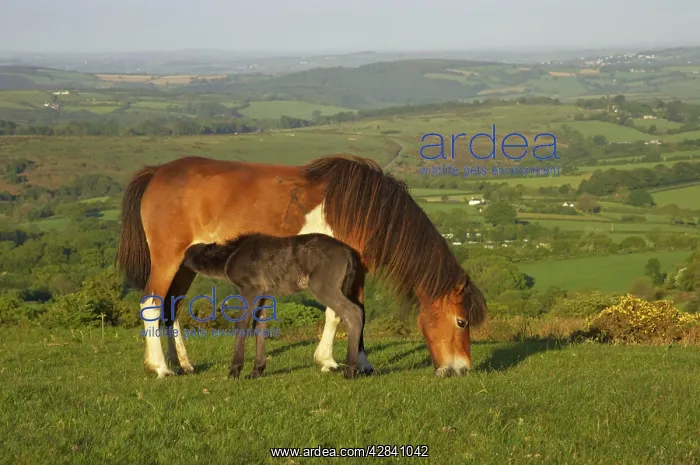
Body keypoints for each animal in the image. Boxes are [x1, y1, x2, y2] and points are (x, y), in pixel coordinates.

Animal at [181, 233, 366, 379]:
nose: (181, 265)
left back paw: (350, 370)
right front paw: (257, 370)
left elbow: (242, 323)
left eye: (188, 255)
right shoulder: (266, 294)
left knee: (353, 312)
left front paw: (235, 370)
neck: (230, 256)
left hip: (323, 286)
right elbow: (259, 325)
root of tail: (348, 252)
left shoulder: (250, 288)